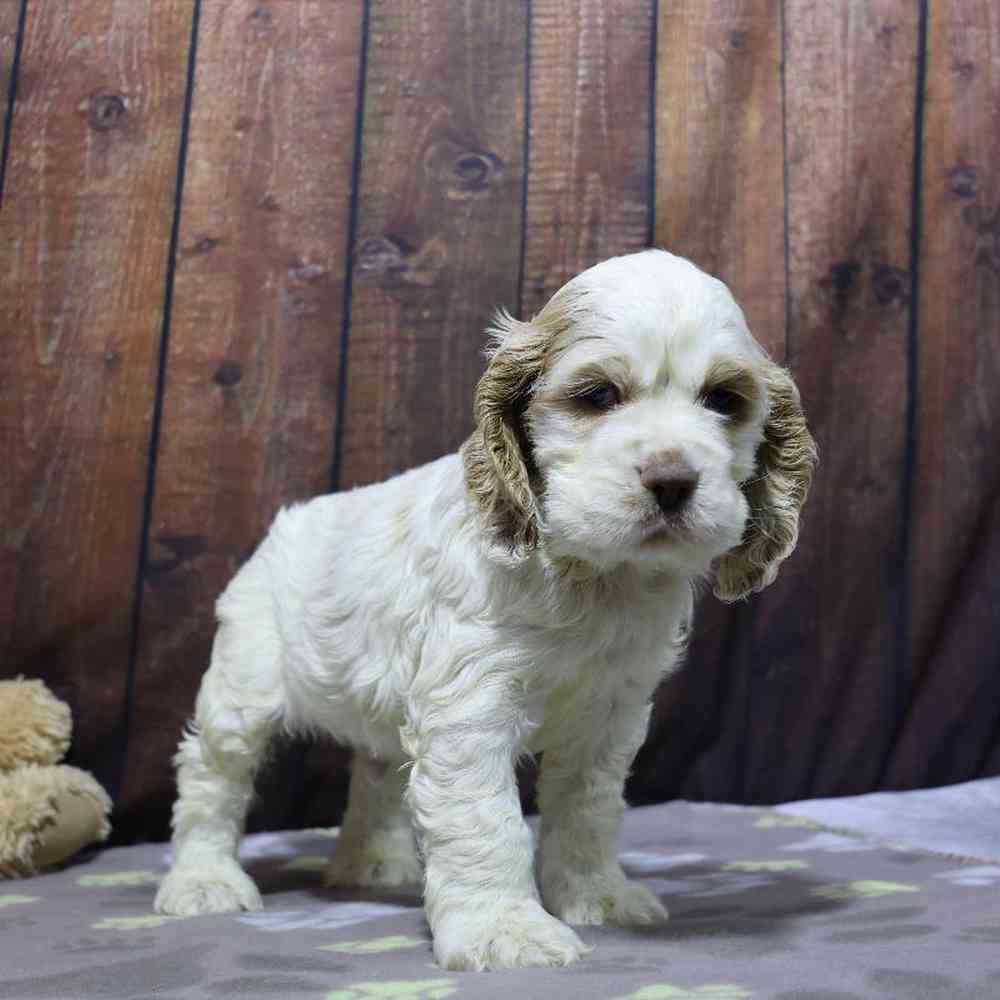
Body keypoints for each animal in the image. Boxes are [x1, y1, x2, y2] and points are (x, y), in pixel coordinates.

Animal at [154, 248, 812, 968]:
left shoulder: (608, 715)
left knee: (378, 770)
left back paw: (372, 864)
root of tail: (282, 529)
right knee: (211, 775)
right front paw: (506, 930)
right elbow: (485, 822)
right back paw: (203, 881)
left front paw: (598, 896)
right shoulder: (469, 709)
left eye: (723, 399)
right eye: (598, 396)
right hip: (243, 688)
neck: (592, 574)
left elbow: (588, 810)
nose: (673, 481)